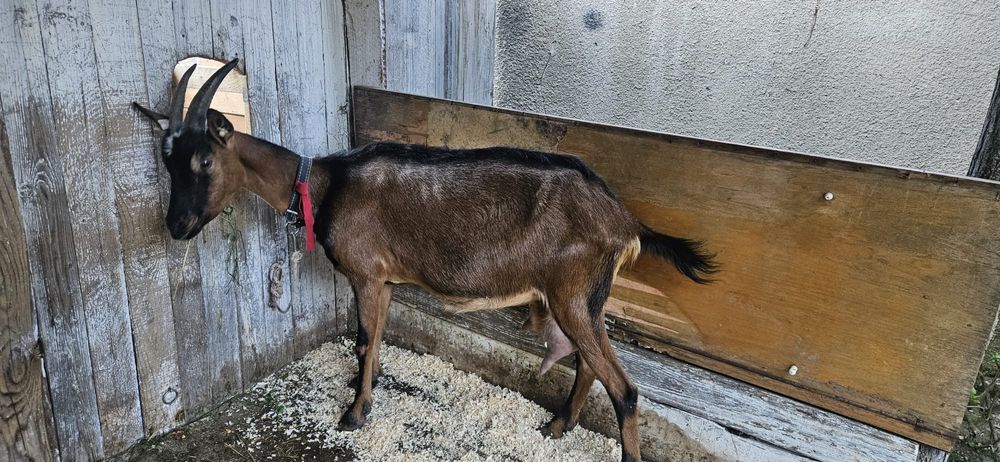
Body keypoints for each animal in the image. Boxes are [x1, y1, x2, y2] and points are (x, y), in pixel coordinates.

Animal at [133, 58, 716, 462]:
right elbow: (374, 341)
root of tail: (624, 221)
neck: (323, 185)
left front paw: (355, 413)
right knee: (590, 366)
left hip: (574, 293)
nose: (176, 226)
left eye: (204, 160)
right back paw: (557, 426)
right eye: (166, 160)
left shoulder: (366, 275)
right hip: (582, 299)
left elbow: (362, 340)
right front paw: (364, 390)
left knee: (626, 390)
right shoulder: (386, 282)